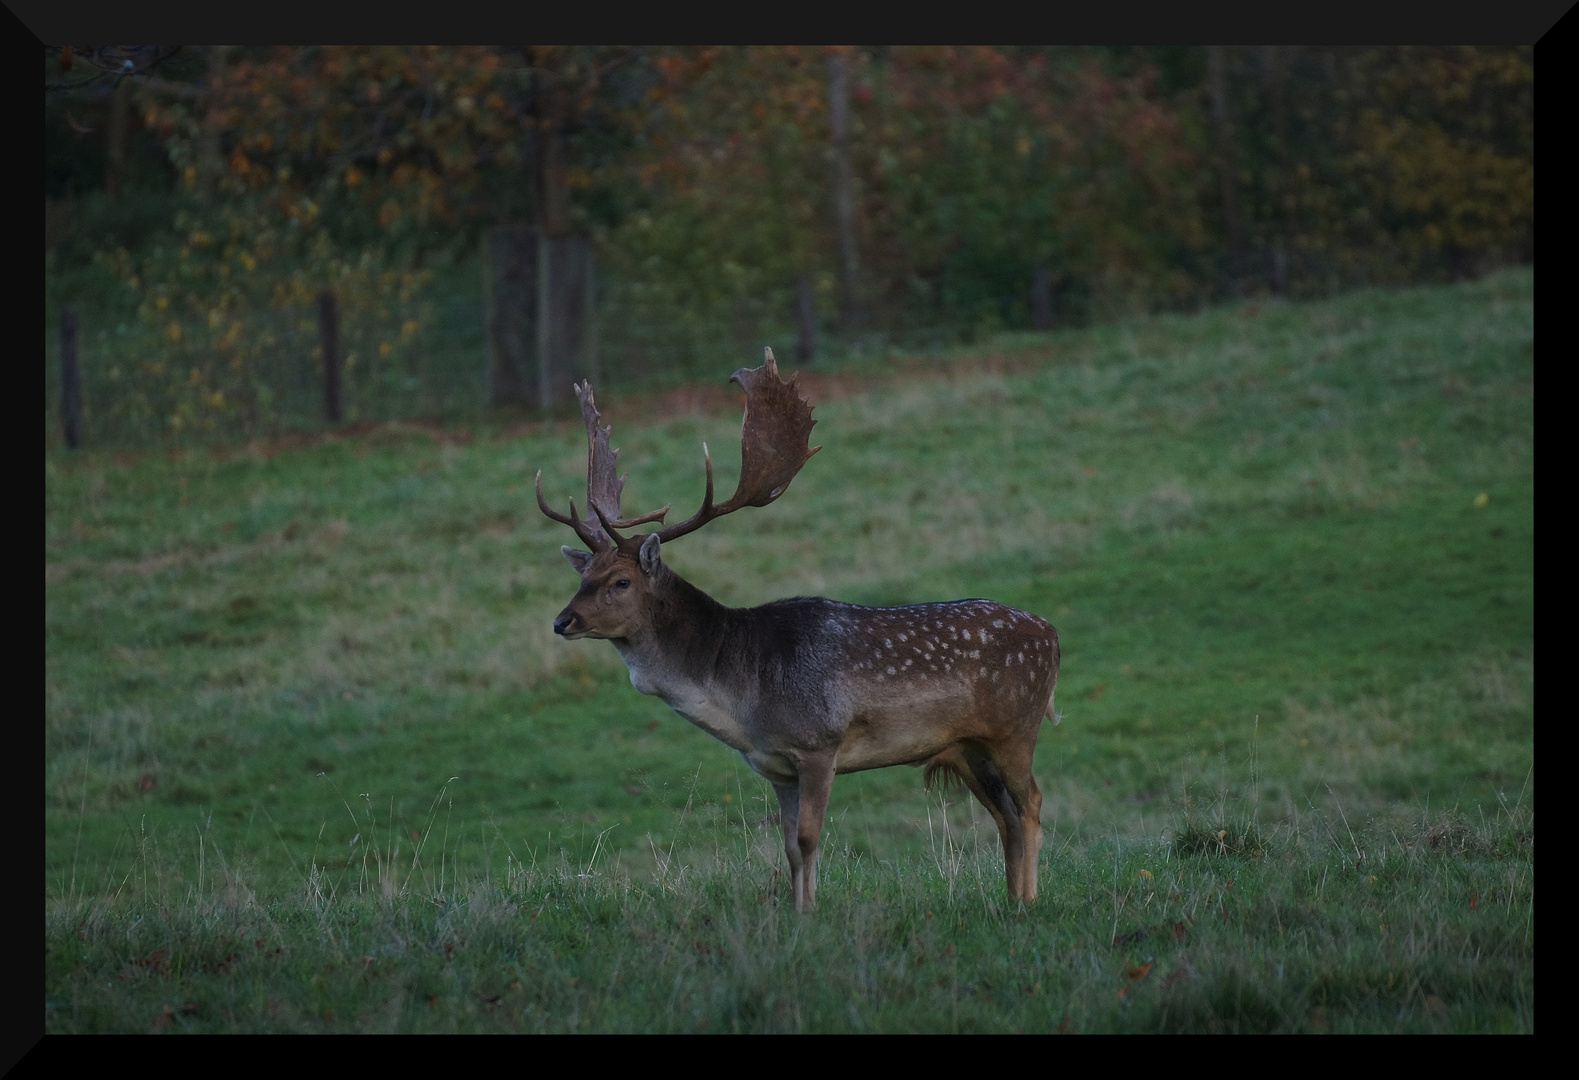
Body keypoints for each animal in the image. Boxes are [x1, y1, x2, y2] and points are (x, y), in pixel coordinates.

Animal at [540, 350, 1061, 909]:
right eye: (582, 577)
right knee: (1005, 815)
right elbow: (790, 847)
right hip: (968, 747)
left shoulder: (819, 743)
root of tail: (1052, 635)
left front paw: (809, 912)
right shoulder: (776, 766)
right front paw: (799, 912)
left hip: (1016, 727)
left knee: (1031, 802)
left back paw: (1030, 902)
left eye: (620, 582)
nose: (562, 621)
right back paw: (1011, 899)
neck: (743, 698)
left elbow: (810, 838)